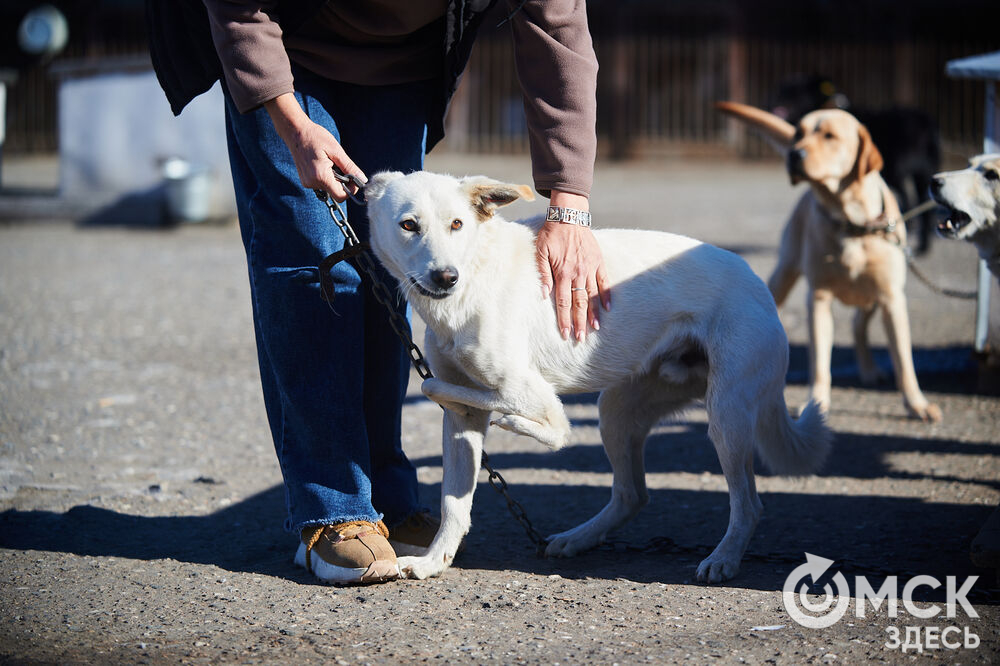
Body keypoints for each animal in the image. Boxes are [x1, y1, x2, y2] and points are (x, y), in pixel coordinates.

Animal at [364, 171, 832, 580]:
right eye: (409, 225)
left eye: (457, 224)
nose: (446, 277)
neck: (473, 278)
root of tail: (759, 286)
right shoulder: (463, 421)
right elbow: (454, 502)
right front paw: (434, 562)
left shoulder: (526, 391)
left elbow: (528, 415)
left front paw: (521, 424)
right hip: (618, 411)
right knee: (632, 494)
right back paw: (578, 539)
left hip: (726, 417)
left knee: (748, 504)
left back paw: (724, 559)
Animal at [772, 74, 936, 253]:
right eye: (782, 89)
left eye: (794, 92)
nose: (772, 99)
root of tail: (925, 122)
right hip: (922, 173)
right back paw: (924, 244)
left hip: (899, 172)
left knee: (910, 200)